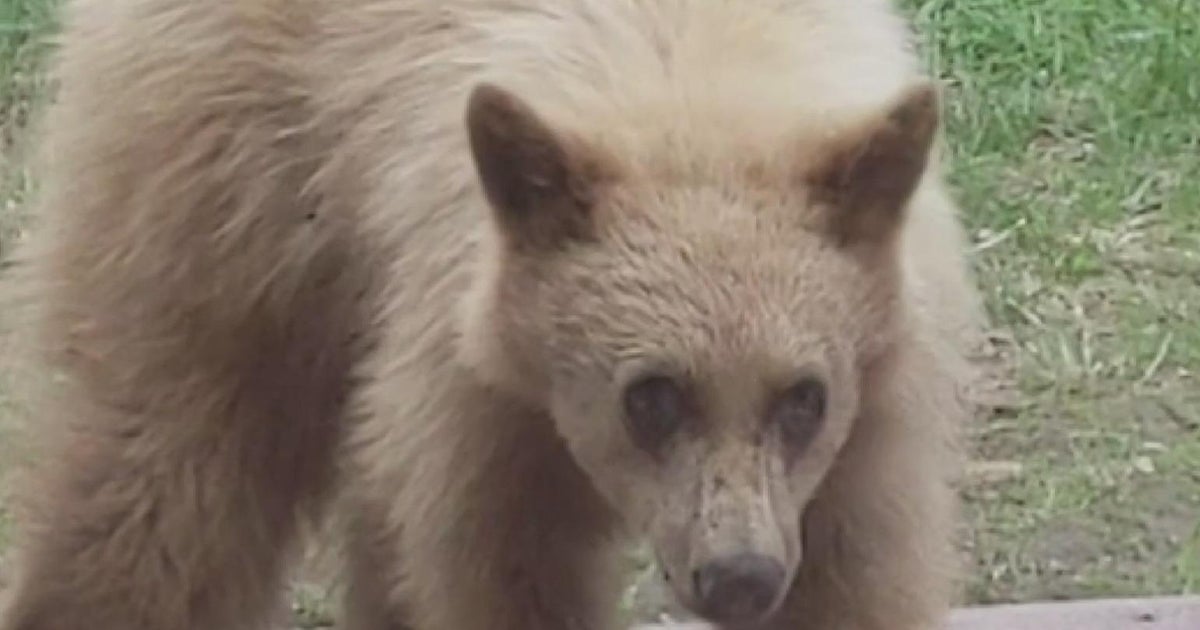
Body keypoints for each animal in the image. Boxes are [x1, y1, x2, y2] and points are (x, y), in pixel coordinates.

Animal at [0, 1, 984, 630]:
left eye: (803, 397)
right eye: (652, 394)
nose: (738, 577)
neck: (697, 98)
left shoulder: (870, 421)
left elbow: (856, 579)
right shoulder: (477, 399)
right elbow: (501, 574)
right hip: (220, 197)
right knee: (163, 482)